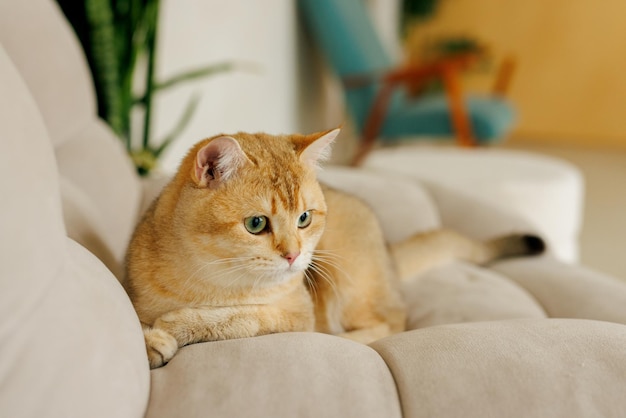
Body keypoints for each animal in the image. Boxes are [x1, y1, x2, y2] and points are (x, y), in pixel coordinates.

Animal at [124, 129, 544, 368]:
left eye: (304, 218)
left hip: (350, 279)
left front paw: (177, 326)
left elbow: (241, 317)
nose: (293, 255)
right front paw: (150, 340)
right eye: (256, 224)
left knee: (391, 320)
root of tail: (388, 255)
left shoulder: (296, 313)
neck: (213, 280)